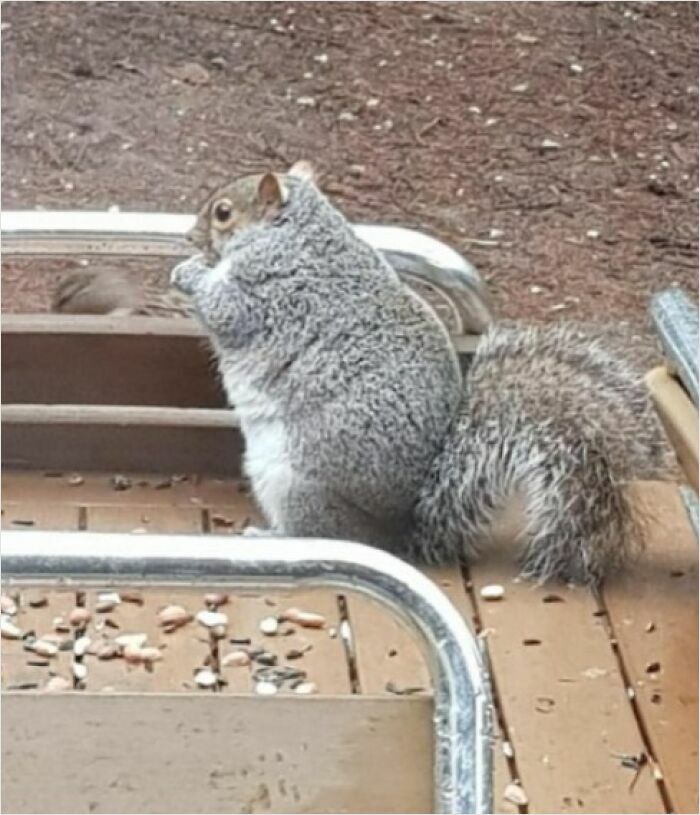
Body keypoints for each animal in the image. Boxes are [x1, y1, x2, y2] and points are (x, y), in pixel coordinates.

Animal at [172, 164, 676, 588]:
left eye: (223, 212)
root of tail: (399, 532)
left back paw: (273, 537)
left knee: (323, 534)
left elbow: (226, 310)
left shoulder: (273, 293)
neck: (294, 232)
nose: (190, 235)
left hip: (295, 484)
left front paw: (190, 273)